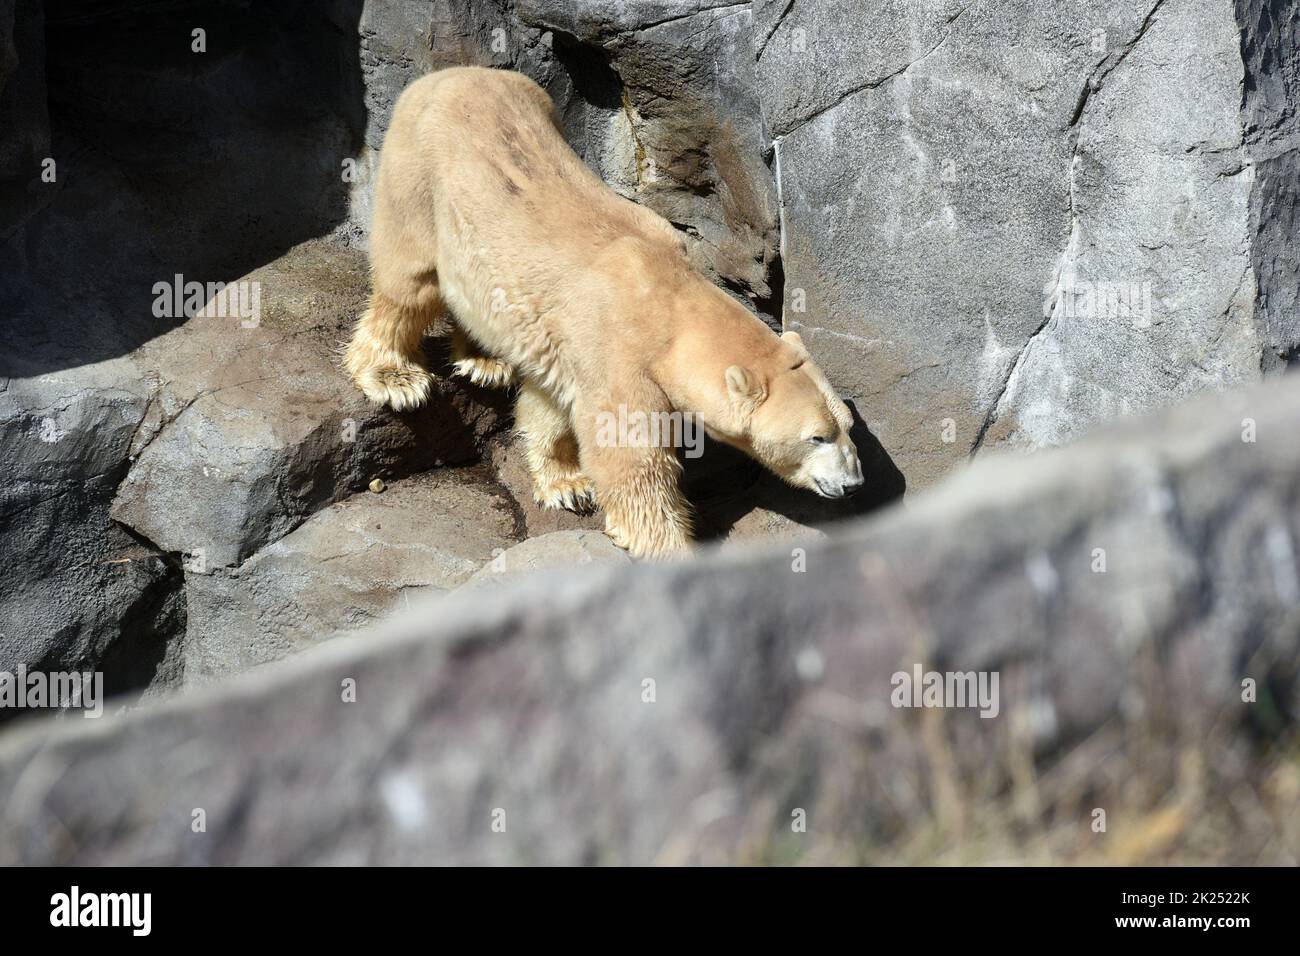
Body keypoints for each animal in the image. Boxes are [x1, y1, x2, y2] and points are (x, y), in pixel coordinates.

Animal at [345, 67, 863, 556]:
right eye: (817, 437)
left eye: (847, 426)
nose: (854, 483)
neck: (668, 298)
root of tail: (448, 74)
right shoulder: (620, 353)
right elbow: (630, 453)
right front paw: (666, 544)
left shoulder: (571, 350)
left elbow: (550, 405)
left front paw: (567, 485)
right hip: (420, 178)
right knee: (410, 282)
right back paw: (394, 376)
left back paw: (485, 360)